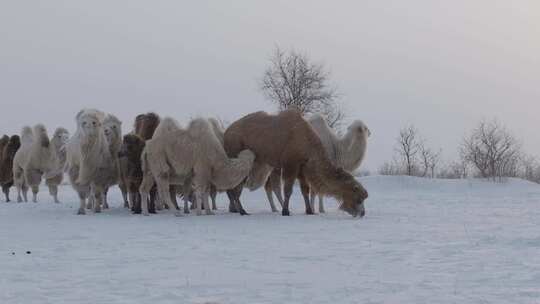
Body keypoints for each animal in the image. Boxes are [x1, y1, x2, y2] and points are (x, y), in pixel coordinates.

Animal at [223, 110, 368, 217]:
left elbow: (305, 190)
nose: (362, 213)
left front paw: (309, 211)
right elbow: (288, 190)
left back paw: (236, 209)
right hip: (237, 155)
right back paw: (242, 211)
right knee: (237, 185)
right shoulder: (290, 164)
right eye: (358, 198)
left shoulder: (303, 167)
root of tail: (226, 133)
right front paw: (286, 211)